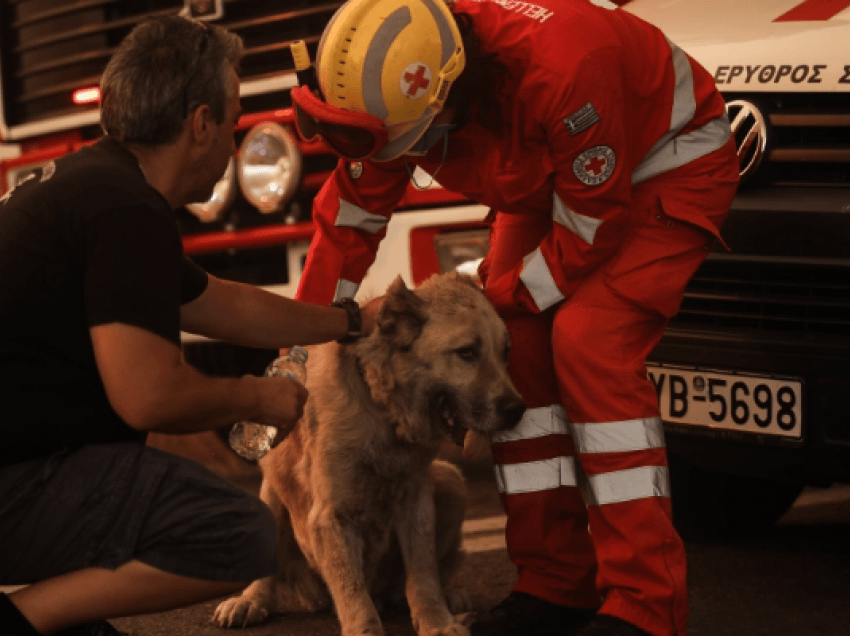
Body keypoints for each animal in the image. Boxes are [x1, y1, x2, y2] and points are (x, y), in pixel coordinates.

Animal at [212, 276, 524, 636]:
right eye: (467, 353)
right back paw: (250, 600)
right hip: (270, 492)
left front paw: (437, 622)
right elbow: (355, 596)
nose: (518, 410)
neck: (381, 410)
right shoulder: (330, 518)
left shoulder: (416, 502)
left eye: (506, 352)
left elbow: (424, 573)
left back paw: (447, 597)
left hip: (451, 481)